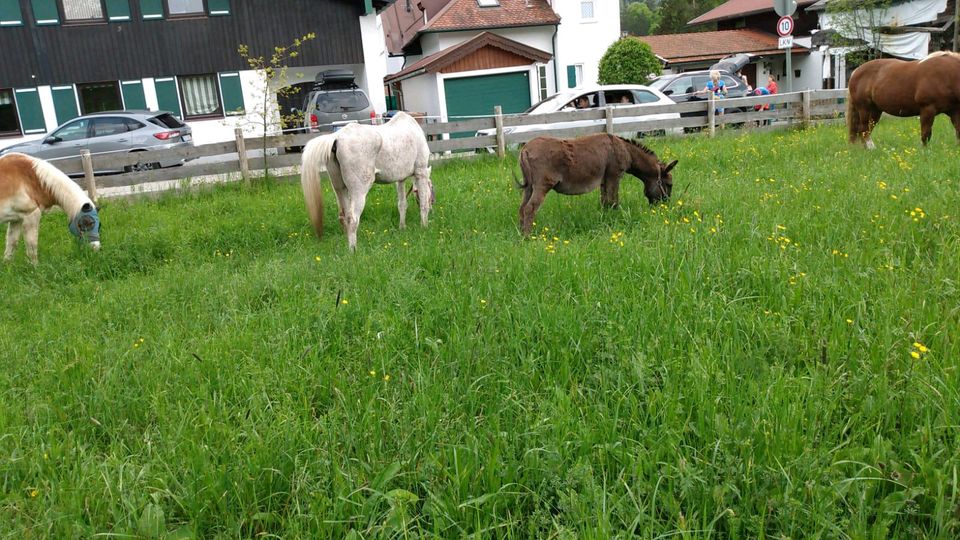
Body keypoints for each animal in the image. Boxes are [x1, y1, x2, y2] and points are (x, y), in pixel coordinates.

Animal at [300, 113, 436, 251]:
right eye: (432, 189)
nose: (432, 208)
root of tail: (336, 138)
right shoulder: (421, 172)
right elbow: (423, 203)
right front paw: (424, 227)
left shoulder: (400, 179)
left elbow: (402, 204)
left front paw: (402, 227)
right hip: (360, 189)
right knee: (352, 219)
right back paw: (353, 250)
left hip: (339, 188)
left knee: (344, 217)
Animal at [512, 133, 680, 236]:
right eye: (669, 184)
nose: (664, 207)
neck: (625, 150)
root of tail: (525, 149)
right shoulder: (614, 176)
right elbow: (613, 201)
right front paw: (615, 221)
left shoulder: (604, 180)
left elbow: (605, 202)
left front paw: (605, 219)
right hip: (542, 185)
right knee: (530, 208)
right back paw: (528, 237)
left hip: (529, 186)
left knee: (522, 208)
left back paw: (521, 234)